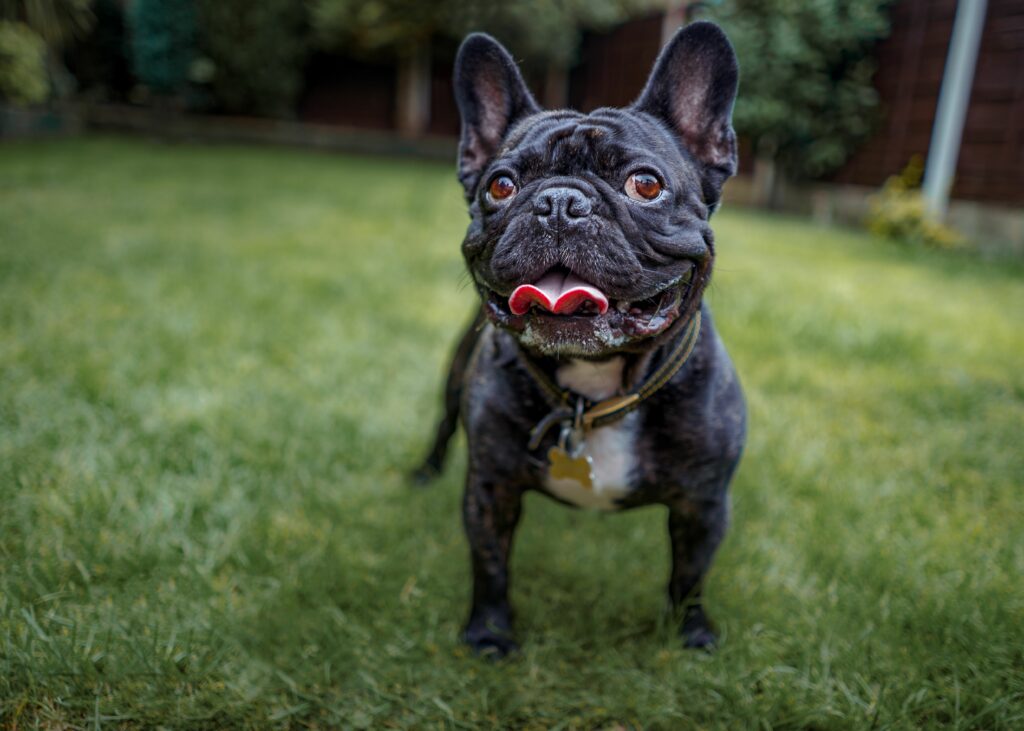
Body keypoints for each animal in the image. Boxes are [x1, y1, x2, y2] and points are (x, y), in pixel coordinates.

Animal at [413, 21, 745, 655]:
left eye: (646, 185)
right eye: (500, 185)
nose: (560, 201)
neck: (595, 391)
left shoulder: (705, 503)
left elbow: (690, 574)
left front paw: (691, 635)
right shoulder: (490, 487)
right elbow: (490, 563)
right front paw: (490, 634)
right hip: (453, 380)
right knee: (442, 425)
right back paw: (423, 473)